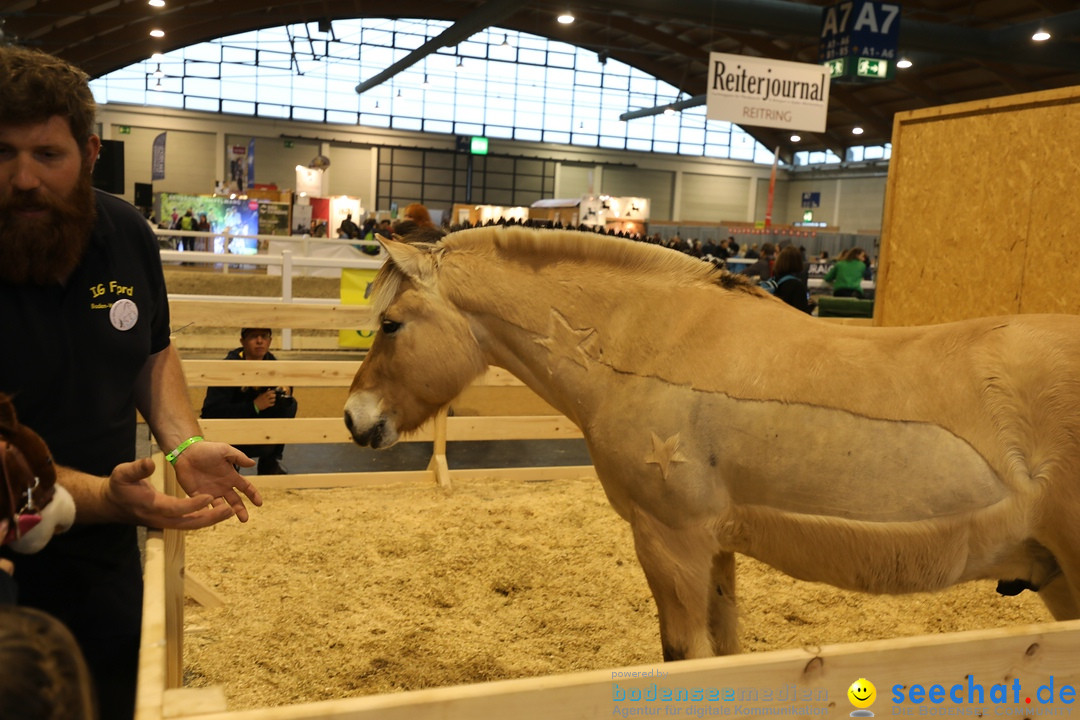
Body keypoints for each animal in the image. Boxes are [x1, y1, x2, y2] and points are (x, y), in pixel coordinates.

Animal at [345, 227, 1080, 660]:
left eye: (391, 323)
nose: (355, 419)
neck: (649, 345)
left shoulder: (670, 541)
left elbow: (686, 656)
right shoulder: (717, 548)